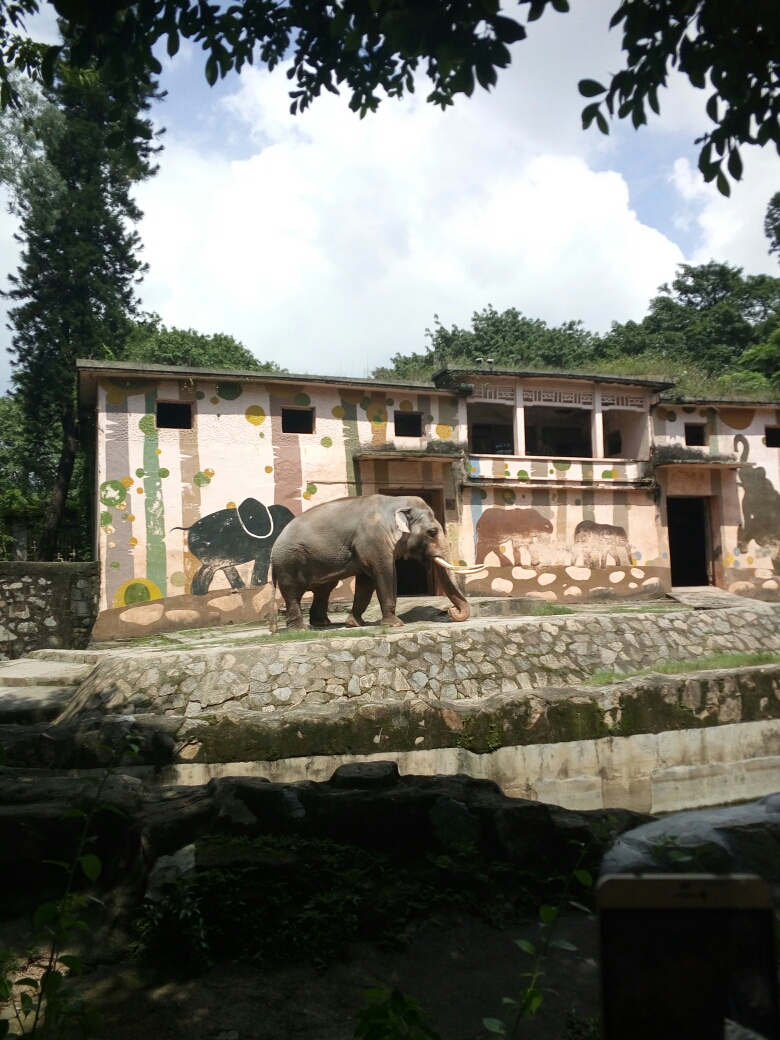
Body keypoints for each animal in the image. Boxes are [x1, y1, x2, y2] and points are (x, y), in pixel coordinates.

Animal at [272, 492, 486, 628]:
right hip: (289, 561)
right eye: (432, 532)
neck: (396, 503)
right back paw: (299, 629)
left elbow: (366, 581)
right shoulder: (373, 540)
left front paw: (355, 624)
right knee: (293, 591)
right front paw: (395, 625)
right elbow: (385, 573)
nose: (451, 611)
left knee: (324, 588)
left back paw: (322, 624)